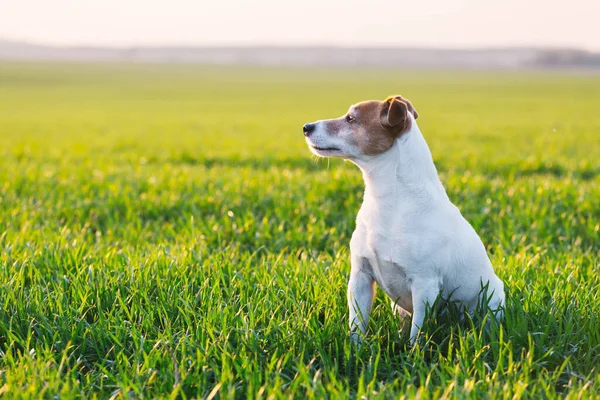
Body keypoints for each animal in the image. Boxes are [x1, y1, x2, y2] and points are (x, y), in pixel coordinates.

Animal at [302, 95, 504, 342]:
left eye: (351, 118)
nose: (306, 127)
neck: (388, 202)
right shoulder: (360, 277)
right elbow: (357, 326)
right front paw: (354, 349)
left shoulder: (425, 286)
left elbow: (417, 334)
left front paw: (413, 351)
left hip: (491, 302)